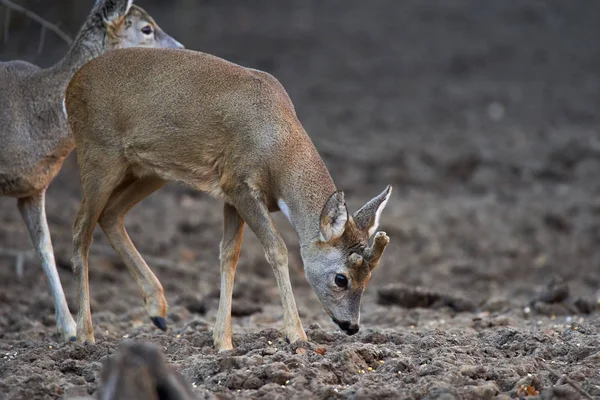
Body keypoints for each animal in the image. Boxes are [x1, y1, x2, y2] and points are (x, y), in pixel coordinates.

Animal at [67, 47, 394, 350]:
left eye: (369, 276)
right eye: (341, 278)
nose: (352, 326)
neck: (276, 147)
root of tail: (72, 84)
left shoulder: (229, 193)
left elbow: (228, 255)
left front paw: (222, 342)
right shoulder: (241, 185)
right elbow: (276, 250)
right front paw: (297, 337)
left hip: (147, 169)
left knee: (110, 214)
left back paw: (157, 311)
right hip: (98, 152)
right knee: (81, 229)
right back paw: (84, 335)